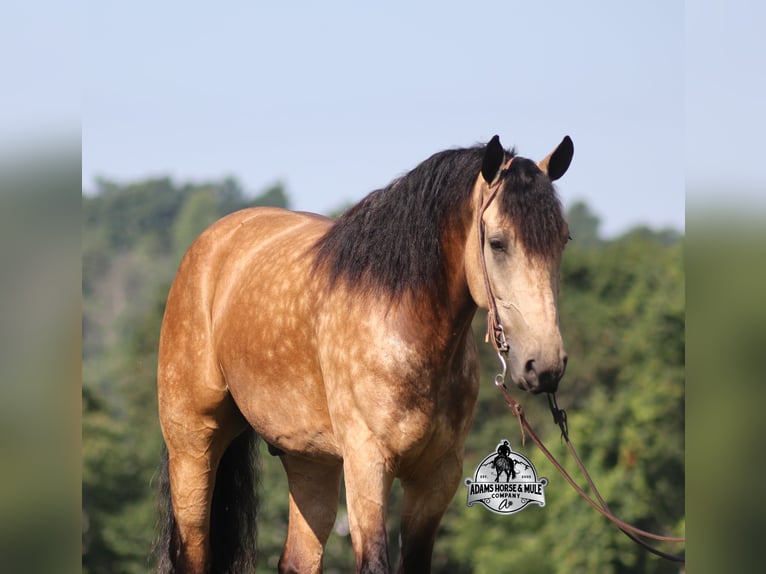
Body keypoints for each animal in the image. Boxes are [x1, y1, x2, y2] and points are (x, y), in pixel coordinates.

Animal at [155, 134, 574, 573]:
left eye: (563, 238)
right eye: (497, 243)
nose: (545, 365)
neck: (404, 324)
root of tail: (209, 247)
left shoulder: (436, 476)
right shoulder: (367, 465)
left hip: (310, 460)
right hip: (193, 445)